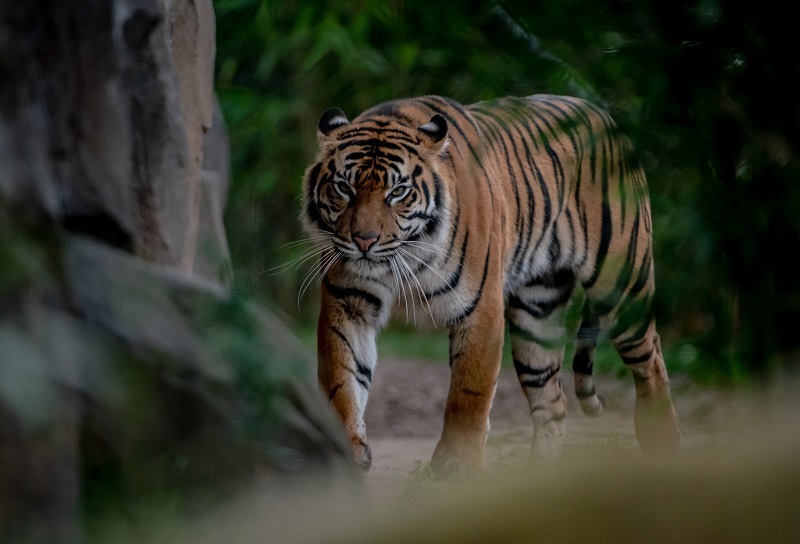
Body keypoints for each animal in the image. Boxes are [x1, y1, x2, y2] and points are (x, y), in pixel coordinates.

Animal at [300, 94, 680, 476]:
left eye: (398, 192)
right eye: (343, 188)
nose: (364, 241)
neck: (405, 257)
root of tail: (606, 117)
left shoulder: (481, 306)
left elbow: (469, 391)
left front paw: (457, 461)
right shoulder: (348, 301)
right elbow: (342, 375)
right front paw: (348, 449)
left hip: (622, 284)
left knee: (650, 358)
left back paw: (662, 439)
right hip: (537, 313)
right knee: (552, 402)